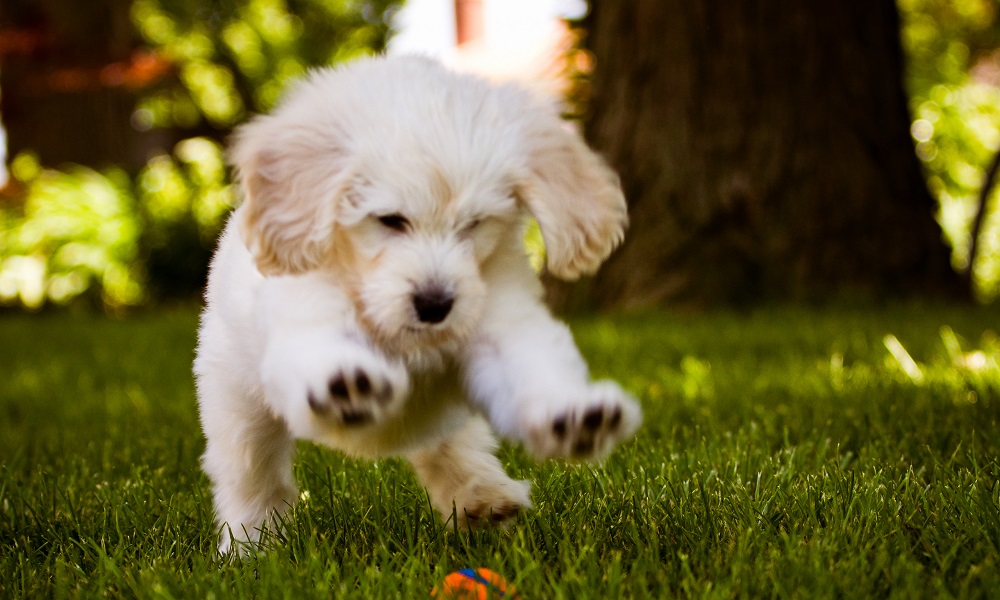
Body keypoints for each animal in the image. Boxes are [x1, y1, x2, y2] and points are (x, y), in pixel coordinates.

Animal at [192, 56, 644, 552]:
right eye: (390, 220)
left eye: (474, 223)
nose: (434, 305)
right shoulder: (305, 315)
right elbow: (320, 351)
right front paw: (347, 384)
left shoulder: (501, 320)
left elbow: (532, 366)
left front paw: (574, 416)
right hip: (236, 404)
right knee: (252, 477)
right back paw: (250, 547)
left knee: (451, 451)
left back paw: (482, 496)